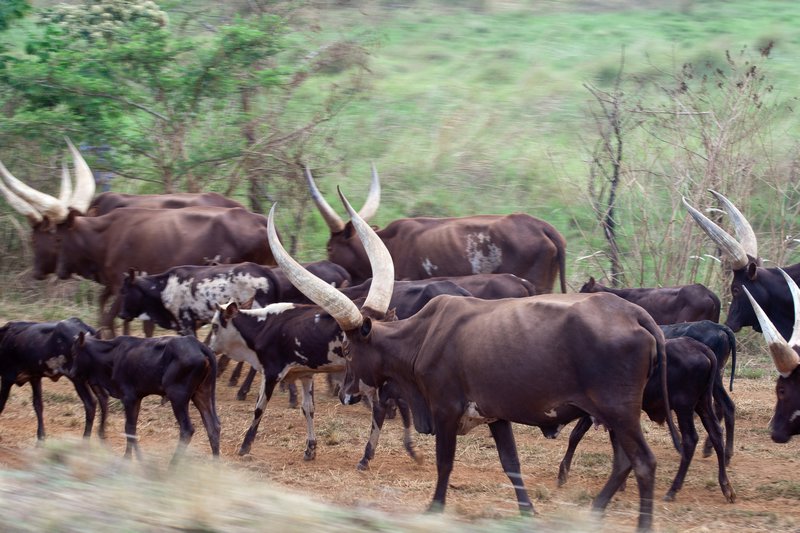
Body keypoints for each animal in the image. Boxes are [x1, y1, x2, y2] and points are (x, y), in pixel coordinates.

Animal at [69, 330, 217, 460]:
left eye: (74, 353)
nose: (71, 373)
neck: (111, 356)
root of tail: (198, 344)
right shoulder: (137, 398)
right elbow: (133, 429)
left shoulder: (128, 397)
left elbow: (129, 428)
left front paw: (128, 458)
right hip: (201, 393)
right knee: (213, 427)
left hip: (178, 397)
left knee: (187, 430)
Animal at [556, 336, 736, 502]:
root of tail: (700, 348)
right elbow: (583, 437)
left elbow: (578, 436)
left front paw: (563, 473)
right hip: (703, 403)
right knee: (716, 434)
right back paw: (726, 487)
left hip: (684, 407)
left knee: (690, 439)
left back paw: (673, 489)